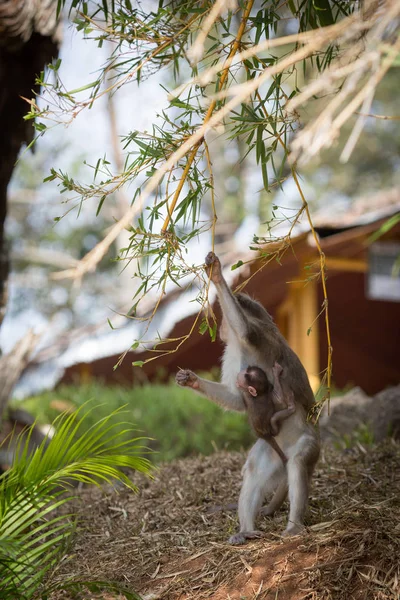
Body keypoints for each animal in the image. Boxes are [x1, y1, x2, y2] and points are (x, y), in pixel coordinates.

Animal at [177, 251, 320, 540]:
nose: (221, 327)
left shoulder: (255, 336)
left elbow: (245, 331)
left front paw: (216, 275)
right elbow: (237, 399)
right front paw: (191, 380)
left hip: (308, 443)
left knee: (298, 463)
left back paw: (294, 526)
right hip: (273, 451)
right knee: (255, 469)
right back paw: (247, 530)